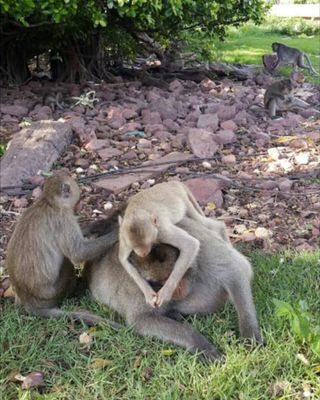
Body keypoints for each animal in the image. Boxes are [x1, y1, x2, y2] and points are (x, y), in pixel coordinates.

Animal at [6, 171, 121, 328]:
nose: (78, 207)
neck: (47, 202)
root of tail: (27, 299)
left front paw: (96, 226)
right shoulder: (63, 219)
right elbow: (78, 254)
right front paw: (117, 233)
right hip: (54, 293)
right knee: (67, 262)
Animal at [84, 219, 262, 362]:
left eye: (176, 274)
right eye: (156, 283)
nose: (178, 290)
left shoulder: (196, 242)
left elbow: (234, 270)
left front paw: (250, 335)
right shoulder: (137, 286)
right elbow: (141, 320)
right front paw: (200, 344)